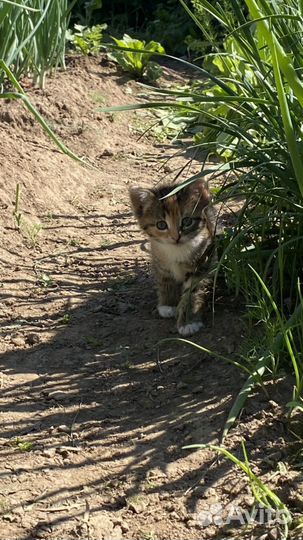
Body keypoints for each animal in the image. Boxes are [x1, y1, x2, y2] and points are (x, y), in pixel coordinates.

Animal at [129, 179, 217, 336]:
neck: (176, 250)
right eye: (161, 225)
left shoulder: (203, 262)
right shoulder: (159, 260)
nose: (176, 237)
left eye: (187, 221)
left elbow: (192, 292)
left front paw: (188, 322)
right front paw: (168, 304)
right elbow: (165, 280)